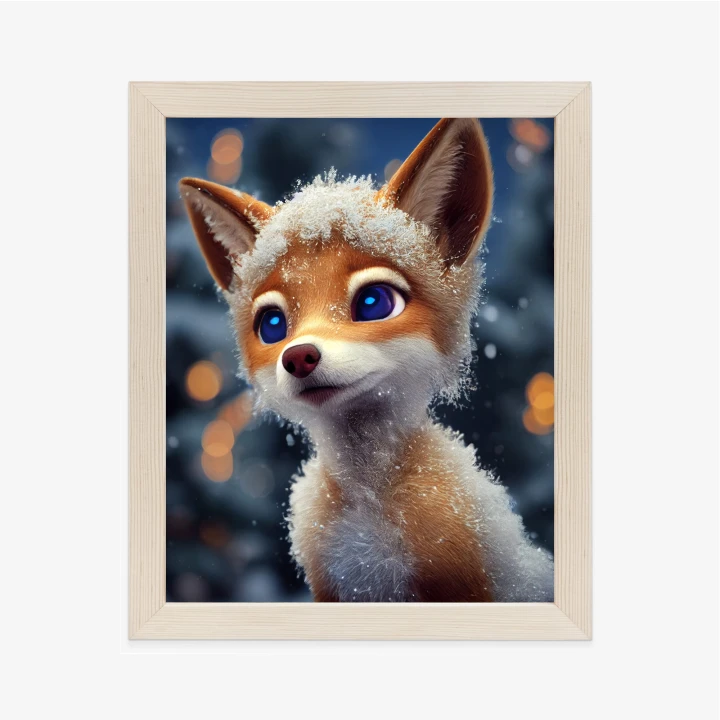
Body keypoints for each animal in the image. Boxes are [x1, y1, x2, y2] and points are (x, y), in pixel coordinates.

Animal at [180, 118, 553, 602]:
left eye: (374, 302)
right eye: (272, 325)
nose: (299, 357)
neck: (368, 509)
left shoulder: (459, 574)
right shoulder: (331, 586)